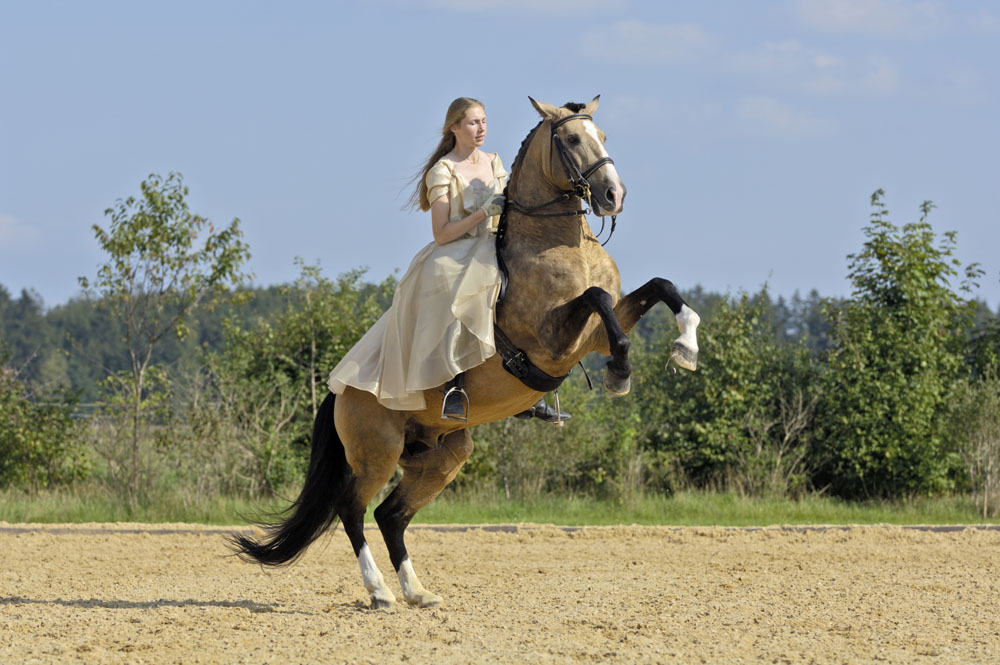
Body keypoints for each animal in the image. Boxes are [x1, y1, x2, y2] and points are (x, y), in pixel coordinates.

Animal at [234, 96, 704, 608]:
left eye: (603, 136)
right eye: (572, 139)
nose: (613, 196)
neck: (560, 244)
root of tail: (339, 389)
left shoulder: (595, 332)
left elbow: (659, 286)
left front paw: (686, 345)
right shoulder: (554, 340)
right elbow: (597, 298)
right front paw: (621, 373)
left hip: (441, 456)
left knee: (390, 516)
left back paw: (418, 592)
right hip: (377, 453)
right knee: (352, 508)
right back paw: (380, 592)